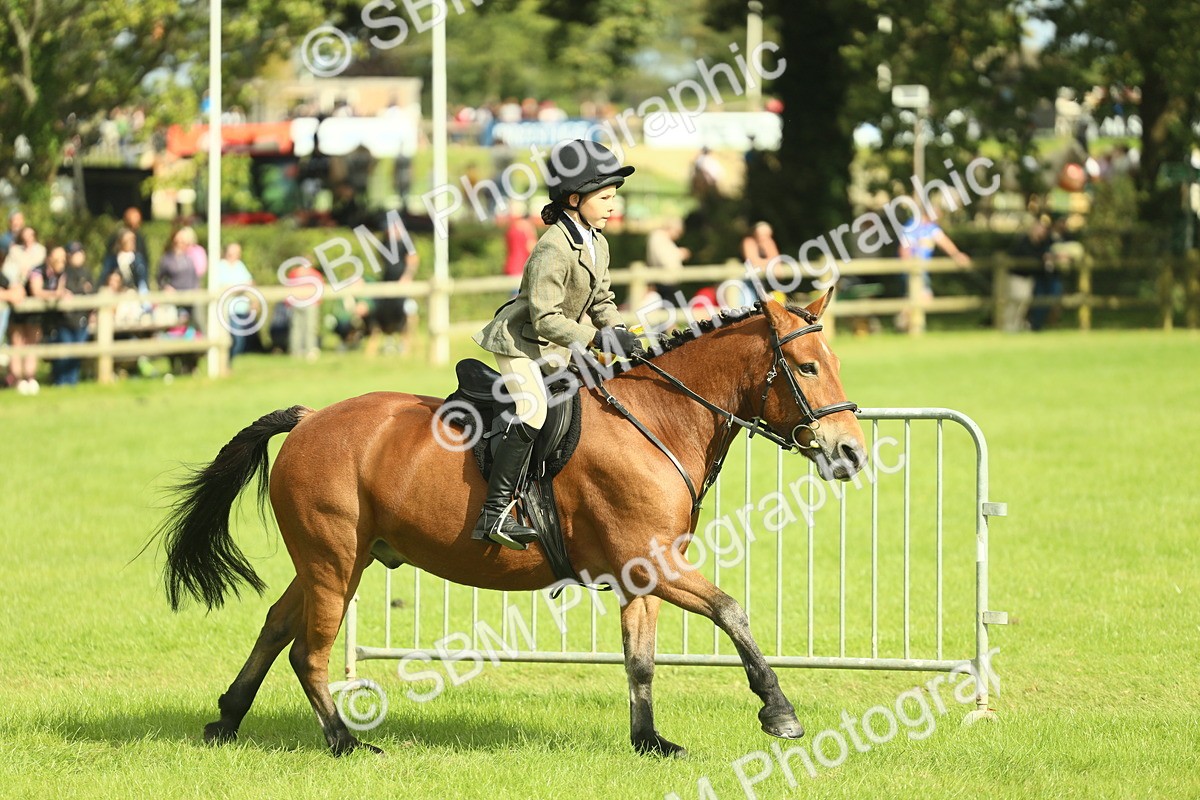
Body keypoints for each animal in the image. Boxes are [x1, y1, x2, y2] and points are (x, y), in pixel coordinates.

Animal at [156, 292, 866, 757]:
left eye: (835, 363)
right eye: (807, 368)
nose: (852, 453)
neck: (657, 419)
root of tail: (308, 419)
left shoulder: (642, 574)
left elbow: (640, 660)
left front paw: (648, 741)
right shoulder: (657, 563)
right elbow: (731, 611)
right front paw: (779, 712)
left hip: (334, 559)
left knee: (278, 624)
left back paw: (227, 720)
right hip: (335, 560)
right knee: (309, 649)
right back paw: (343, 742)